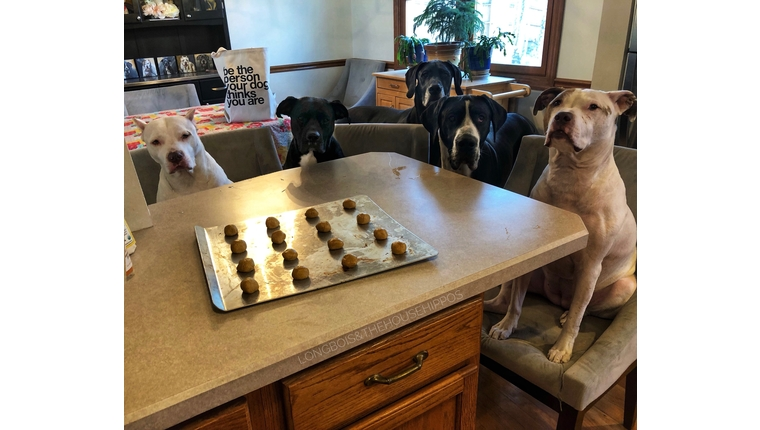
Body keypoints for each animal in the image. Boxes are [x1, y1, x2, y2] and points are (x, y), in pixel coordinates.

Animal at [484, 87, 640, 362]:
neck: (570, 174)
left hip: (623, 286)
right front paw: (506, 327)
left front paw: (562, 348)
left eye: (594, 107)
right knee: (508, 294)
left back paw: (567, 315)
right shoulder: (533, 253)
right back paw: (493, 307)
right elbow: (516, 302)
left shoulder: (590, 266)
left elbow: (578, 315)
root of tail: (556, 300)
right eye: (557, 103)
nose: (563, 116)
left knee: (585, 308)